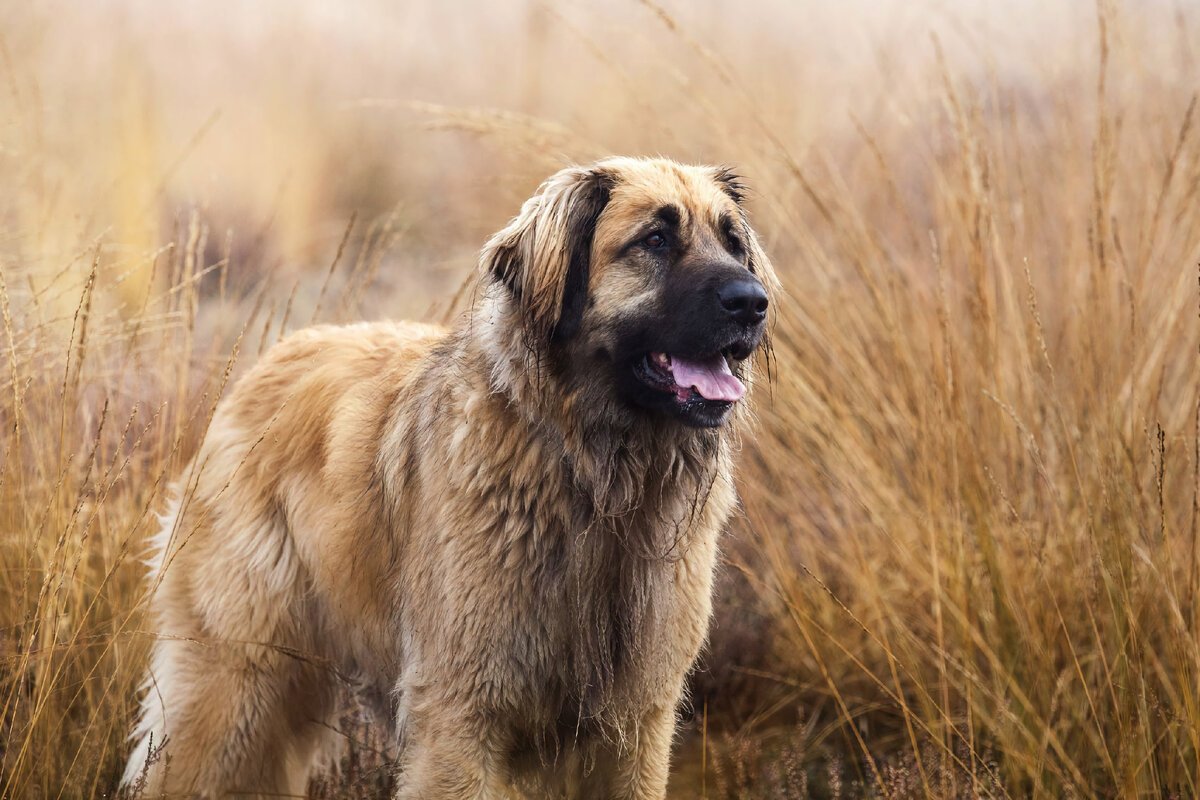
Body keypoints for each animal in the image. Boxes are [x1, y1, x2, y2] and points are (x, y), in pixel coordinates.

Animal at [124, 154, 777, 796]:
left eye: (733, 242)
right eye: (656, 239)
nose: (753, 303)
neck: (594, 478)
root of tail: (268, 364)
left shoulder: (636, 721)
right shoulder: (461, 711)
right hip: (234, 684)